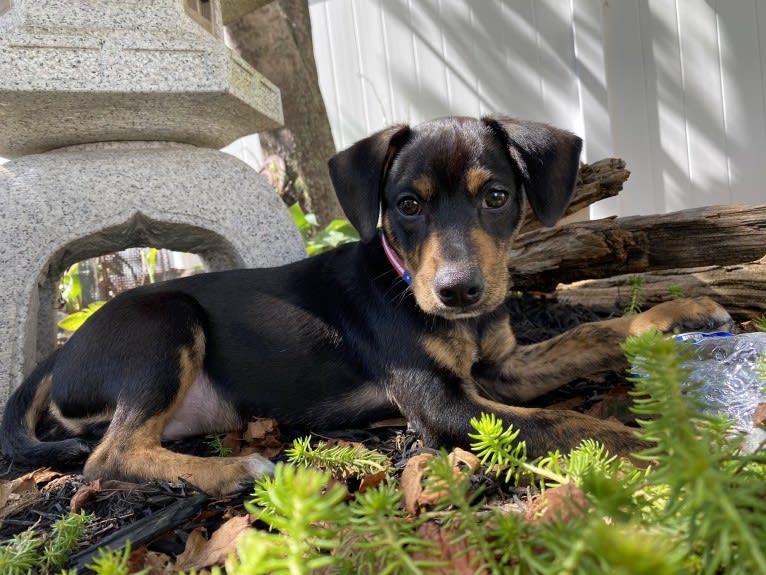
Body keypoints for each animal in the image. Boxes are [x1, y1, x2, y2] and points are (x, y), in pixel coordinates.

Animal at [0, 116, 732, 496]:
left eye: (496, 196)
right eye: (406, 204)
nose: (459, 290)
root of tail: (59, 356)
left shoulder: (502, 367)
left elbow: (593, 333)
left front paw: (681, 313)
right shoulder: (444, 404)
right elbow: (566, 423)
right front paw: (667, 446)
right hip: (164, 323)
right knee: (106, 456)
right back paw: (236, 467)